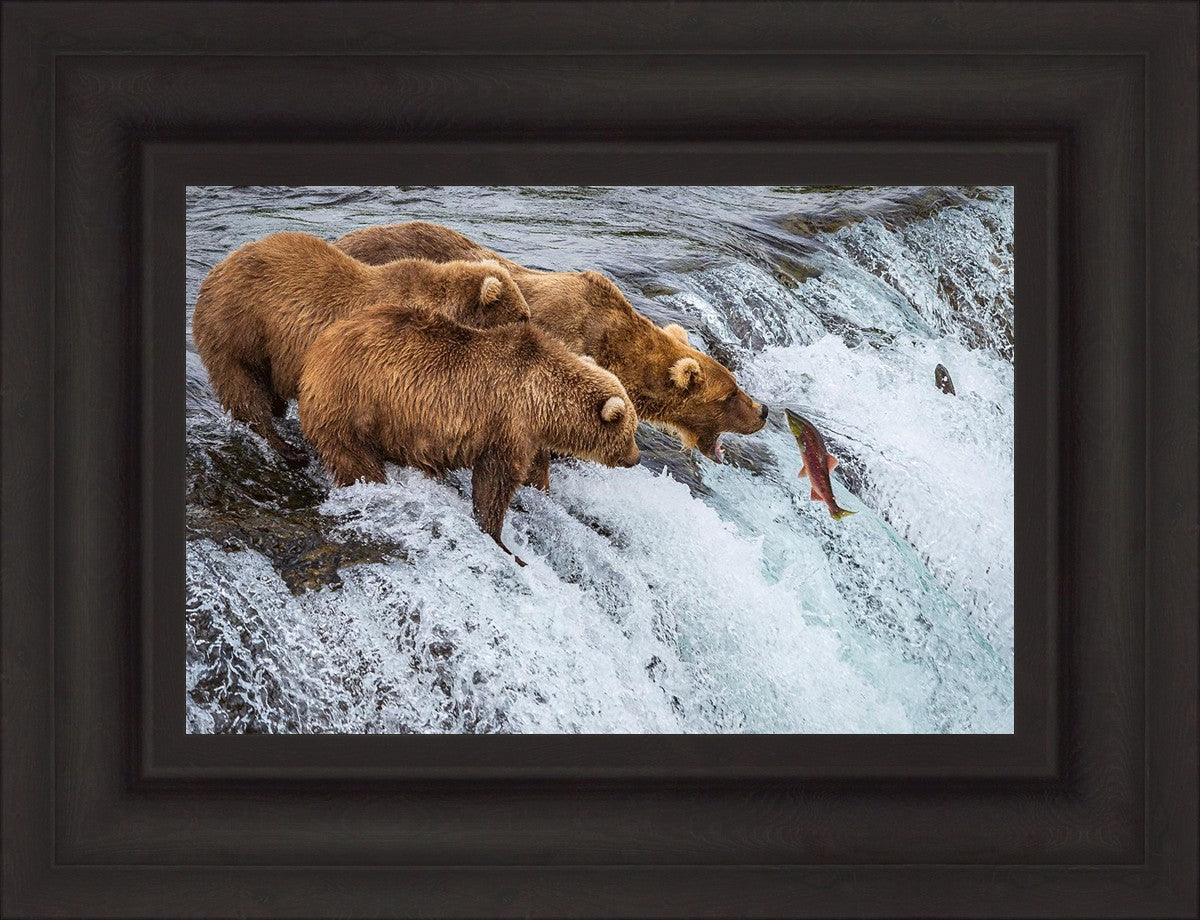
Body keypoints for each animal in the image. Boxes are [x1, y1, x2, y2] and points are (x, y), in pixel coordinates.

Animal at [192, 231, 530, 462]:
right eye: (522, 315)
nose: (531, 327)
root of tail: (214, 272)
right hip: (239, 329)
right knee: (244, 389)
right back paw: (286, 448)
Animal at [297, 305, 640, 565]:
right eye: (630, 432)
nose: (635, 458)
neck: (543, 401)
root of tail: (317, 350)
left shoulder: (529, 435)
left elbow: (533, 470)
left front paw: (541, 491)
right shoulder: (507, 422)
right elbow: (495, 482)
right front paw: (501, 540)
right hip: (354, 404)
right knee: (355, 459)